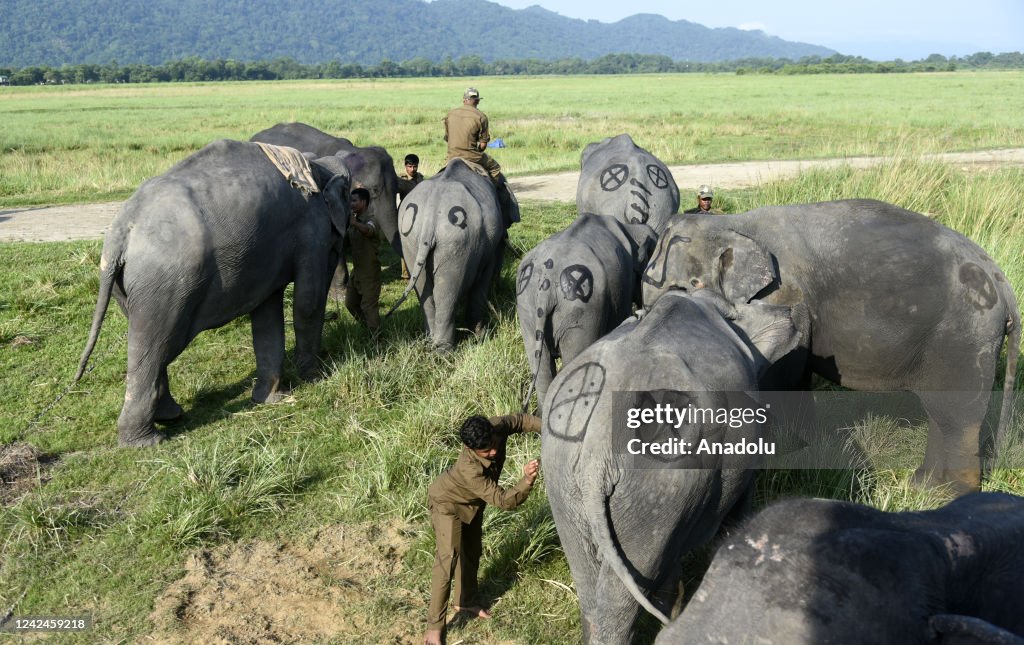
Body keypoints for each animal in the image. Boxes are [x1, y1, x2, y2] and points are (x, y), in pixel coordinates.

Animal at [74, 139, 351, 447]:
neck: (318, 166)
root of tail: (120, 232)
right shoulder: (312, 230)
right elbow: (307, 302)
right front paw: (315, 378)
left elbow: (267, 316)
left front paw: (272, 399)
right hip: (165, 284)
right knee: (156, 345)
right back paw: (148, 440)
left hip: (131, 287)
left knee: (152, 345)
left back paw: (169, 417)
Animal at [393, 158, 508, 351]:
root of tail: (431, 215)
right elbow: (482, 281)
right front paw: (481, 335)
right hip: (458, 241)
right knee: (447, 293)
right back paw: (444, 350)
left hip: (410, 239)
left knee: (426, 292)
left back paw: (431, 342)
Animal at [516, 212, 658, 413]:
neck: (631, 229)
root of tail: (547, 280)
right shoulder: (623, 285)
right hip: (582, 309)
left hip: (527, 306)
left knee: (542, 370)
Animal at [542, 289, 805, 645]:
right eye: (745, 305)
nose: (791, 310)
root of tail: (596, 449)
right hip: (654, 491)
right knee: (623, 595)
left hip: (564, 483)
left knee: (589, 585)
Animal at [642, 199, 1021, 495]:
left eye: (688, 285)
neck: (731, 224)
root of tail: (1003, 285)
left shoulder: (785, 297)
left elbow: (782, 373)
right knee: (942, 416)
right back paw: (923, 488)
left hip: (963, 337)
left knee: (954, 416)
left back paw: (947, 495)